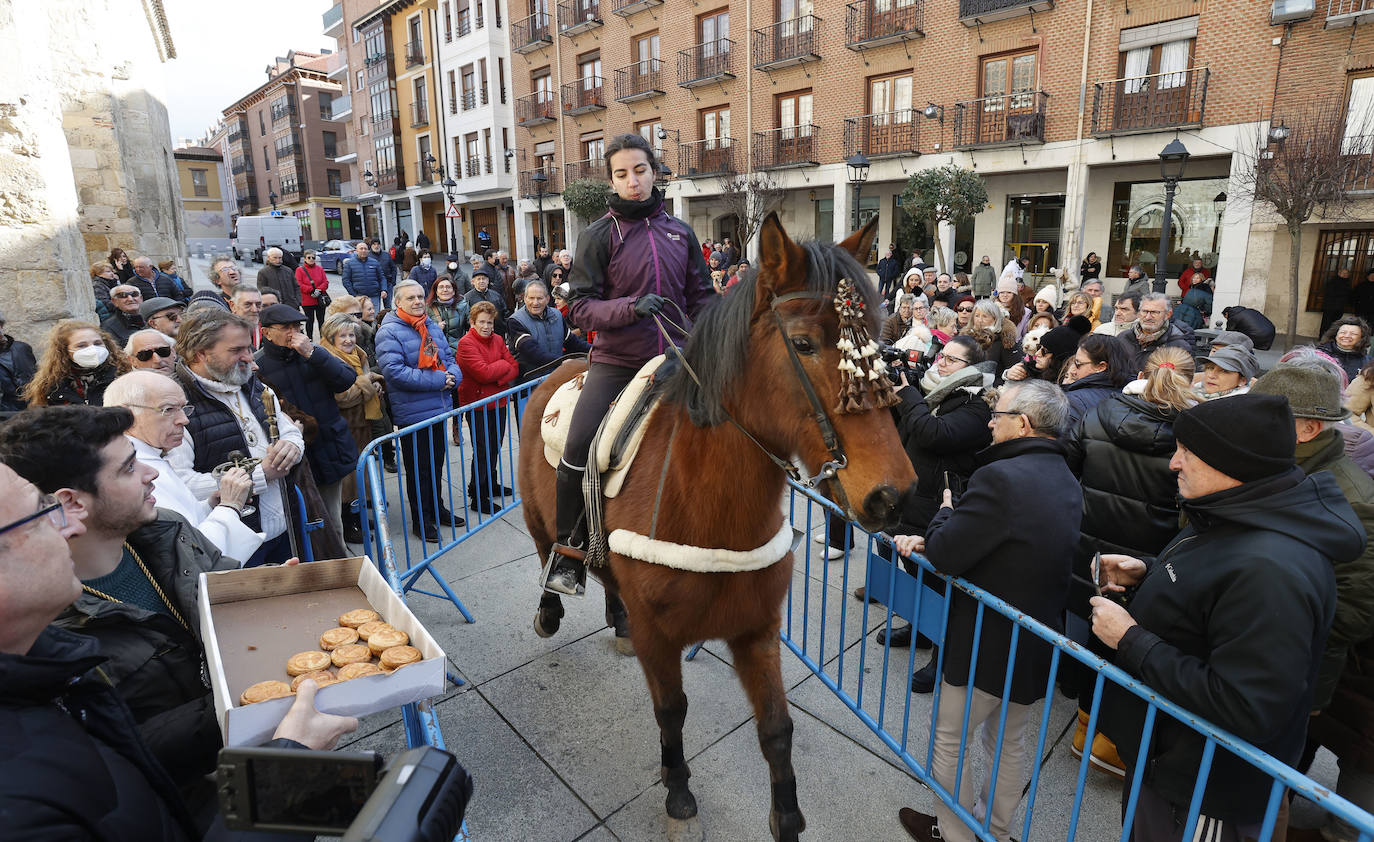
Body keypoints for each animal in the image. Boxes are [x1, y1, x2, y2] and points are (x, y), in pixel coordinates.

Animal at [516, 212, 912, 835]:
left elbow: (777, 729)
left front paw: (787, 815)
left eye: (877, 343)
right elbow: (671, 711)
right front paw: (678, 789)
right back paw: (552, 604)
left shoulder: (757, 629)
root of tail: (563, 367)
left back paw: (614, 615)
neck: (707, 506)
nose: (892, 495)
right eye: (803, 343)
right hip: (541, 518)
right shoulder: (661, 638)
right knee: (547, 549)